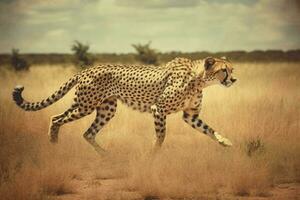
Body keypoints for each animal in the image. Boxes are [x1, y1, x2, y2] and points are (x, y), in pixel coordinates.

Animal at [12, 57, 237, 154]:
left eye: (232, 69)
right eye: (223, 70)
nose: (234, 80)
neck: (199, 79)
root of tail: (86, 69)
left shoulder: (190, 115)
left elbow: (210, 130)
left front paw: (225, 142)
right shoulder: (158, 109)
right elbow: (161, 135)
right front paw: (153, 154)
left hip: (105, 108)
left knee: (87, 133)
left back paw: (106, 156)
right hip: (85, 106)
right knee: (56, 118)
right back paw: (53, 144)